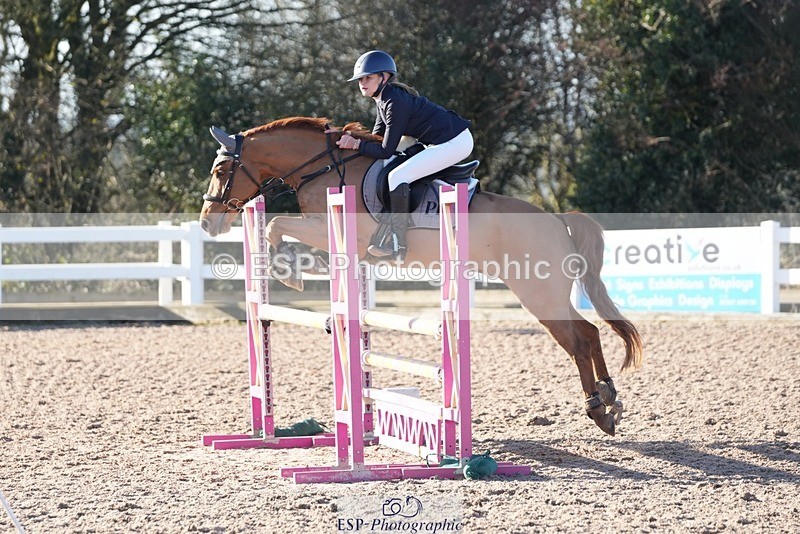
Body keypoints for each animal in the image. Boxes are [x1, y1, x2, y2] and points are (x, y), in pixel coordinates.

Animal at [199, 116, 643, 436]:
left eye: (221, 170)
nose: (207, 222)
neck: (323, 167)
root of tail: (556, 220)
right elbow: (293, 242)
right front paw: (292, 269)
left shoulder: (335, 230)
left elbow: (275, 226)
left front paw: (288, 271)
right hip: (547, 293)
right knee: (589, 332)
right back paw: (610, 398)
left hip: (538, 294)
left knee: (578, 341)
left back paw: (597, 410)